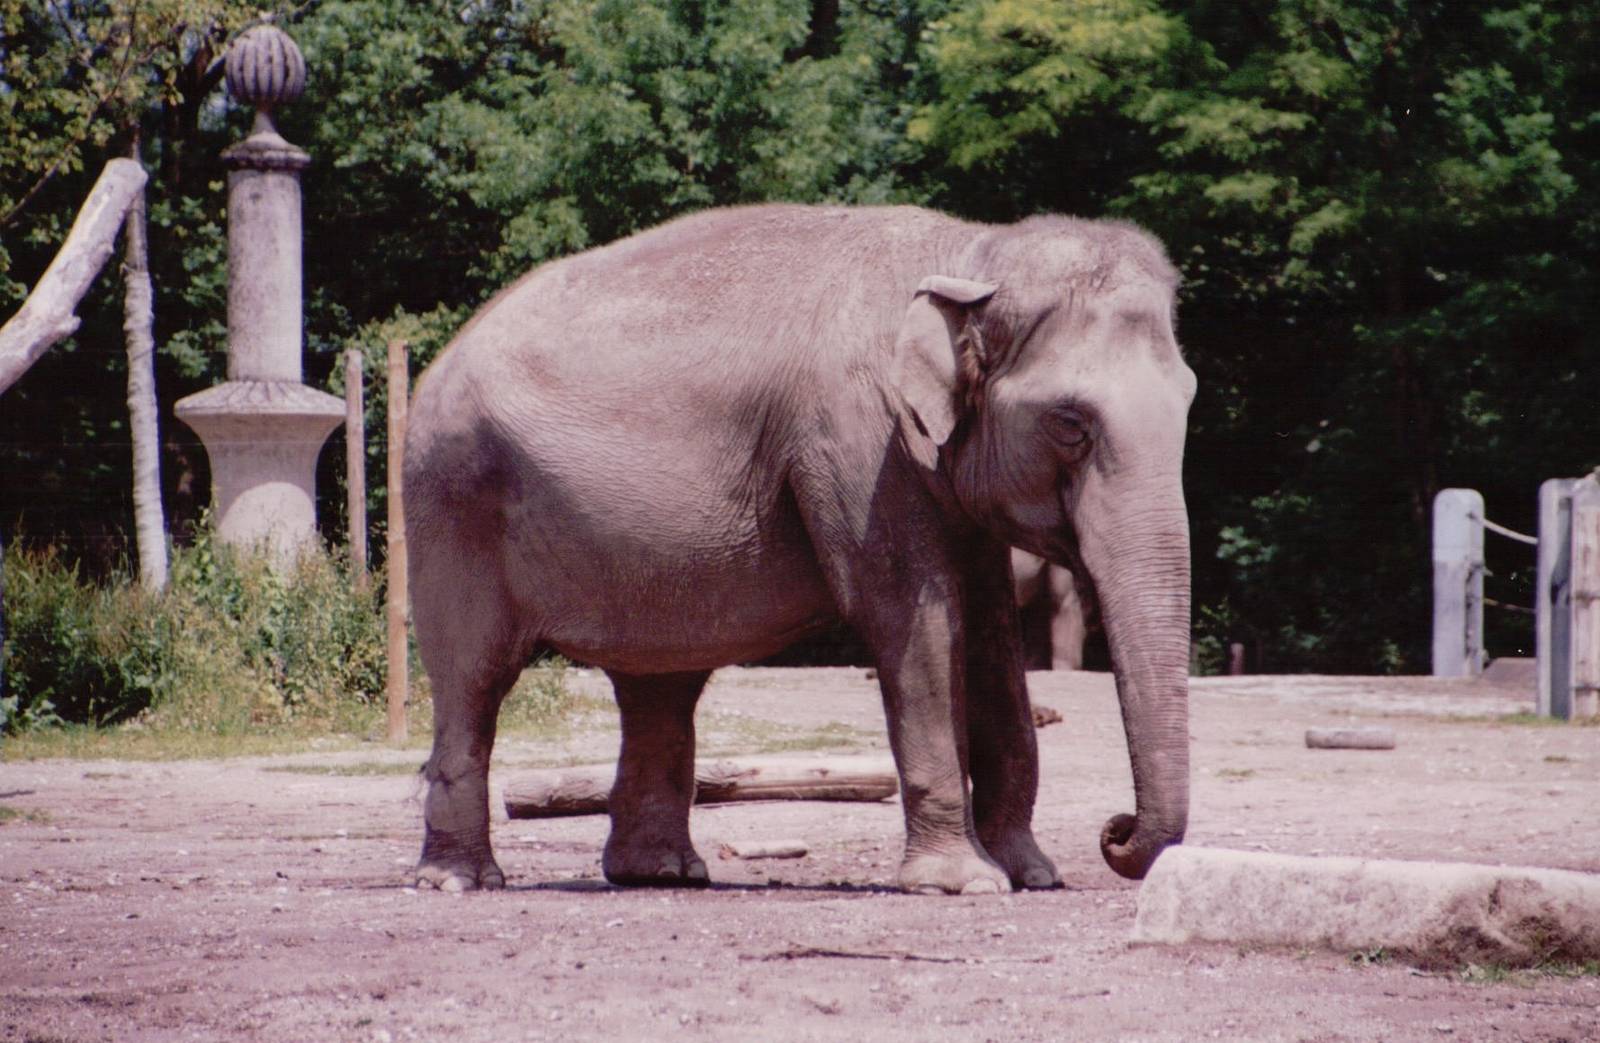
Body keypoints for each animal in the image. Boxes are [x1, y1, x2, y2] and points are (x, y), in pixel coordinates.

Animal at [405, 204, 1196, 895]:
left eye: (1189, 399)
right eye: (1070, 422)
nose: (1116, 830)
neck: (969, 251)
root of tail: (437, 363)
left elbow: (991, 636)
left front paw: (1032, 874)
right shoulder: (859, 441)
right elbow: (914, 621)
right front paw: (965, 884)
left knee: (659, 682)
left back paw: (662, 874)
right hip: (452, 500)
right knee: (473, 678)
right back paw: (460, 880)